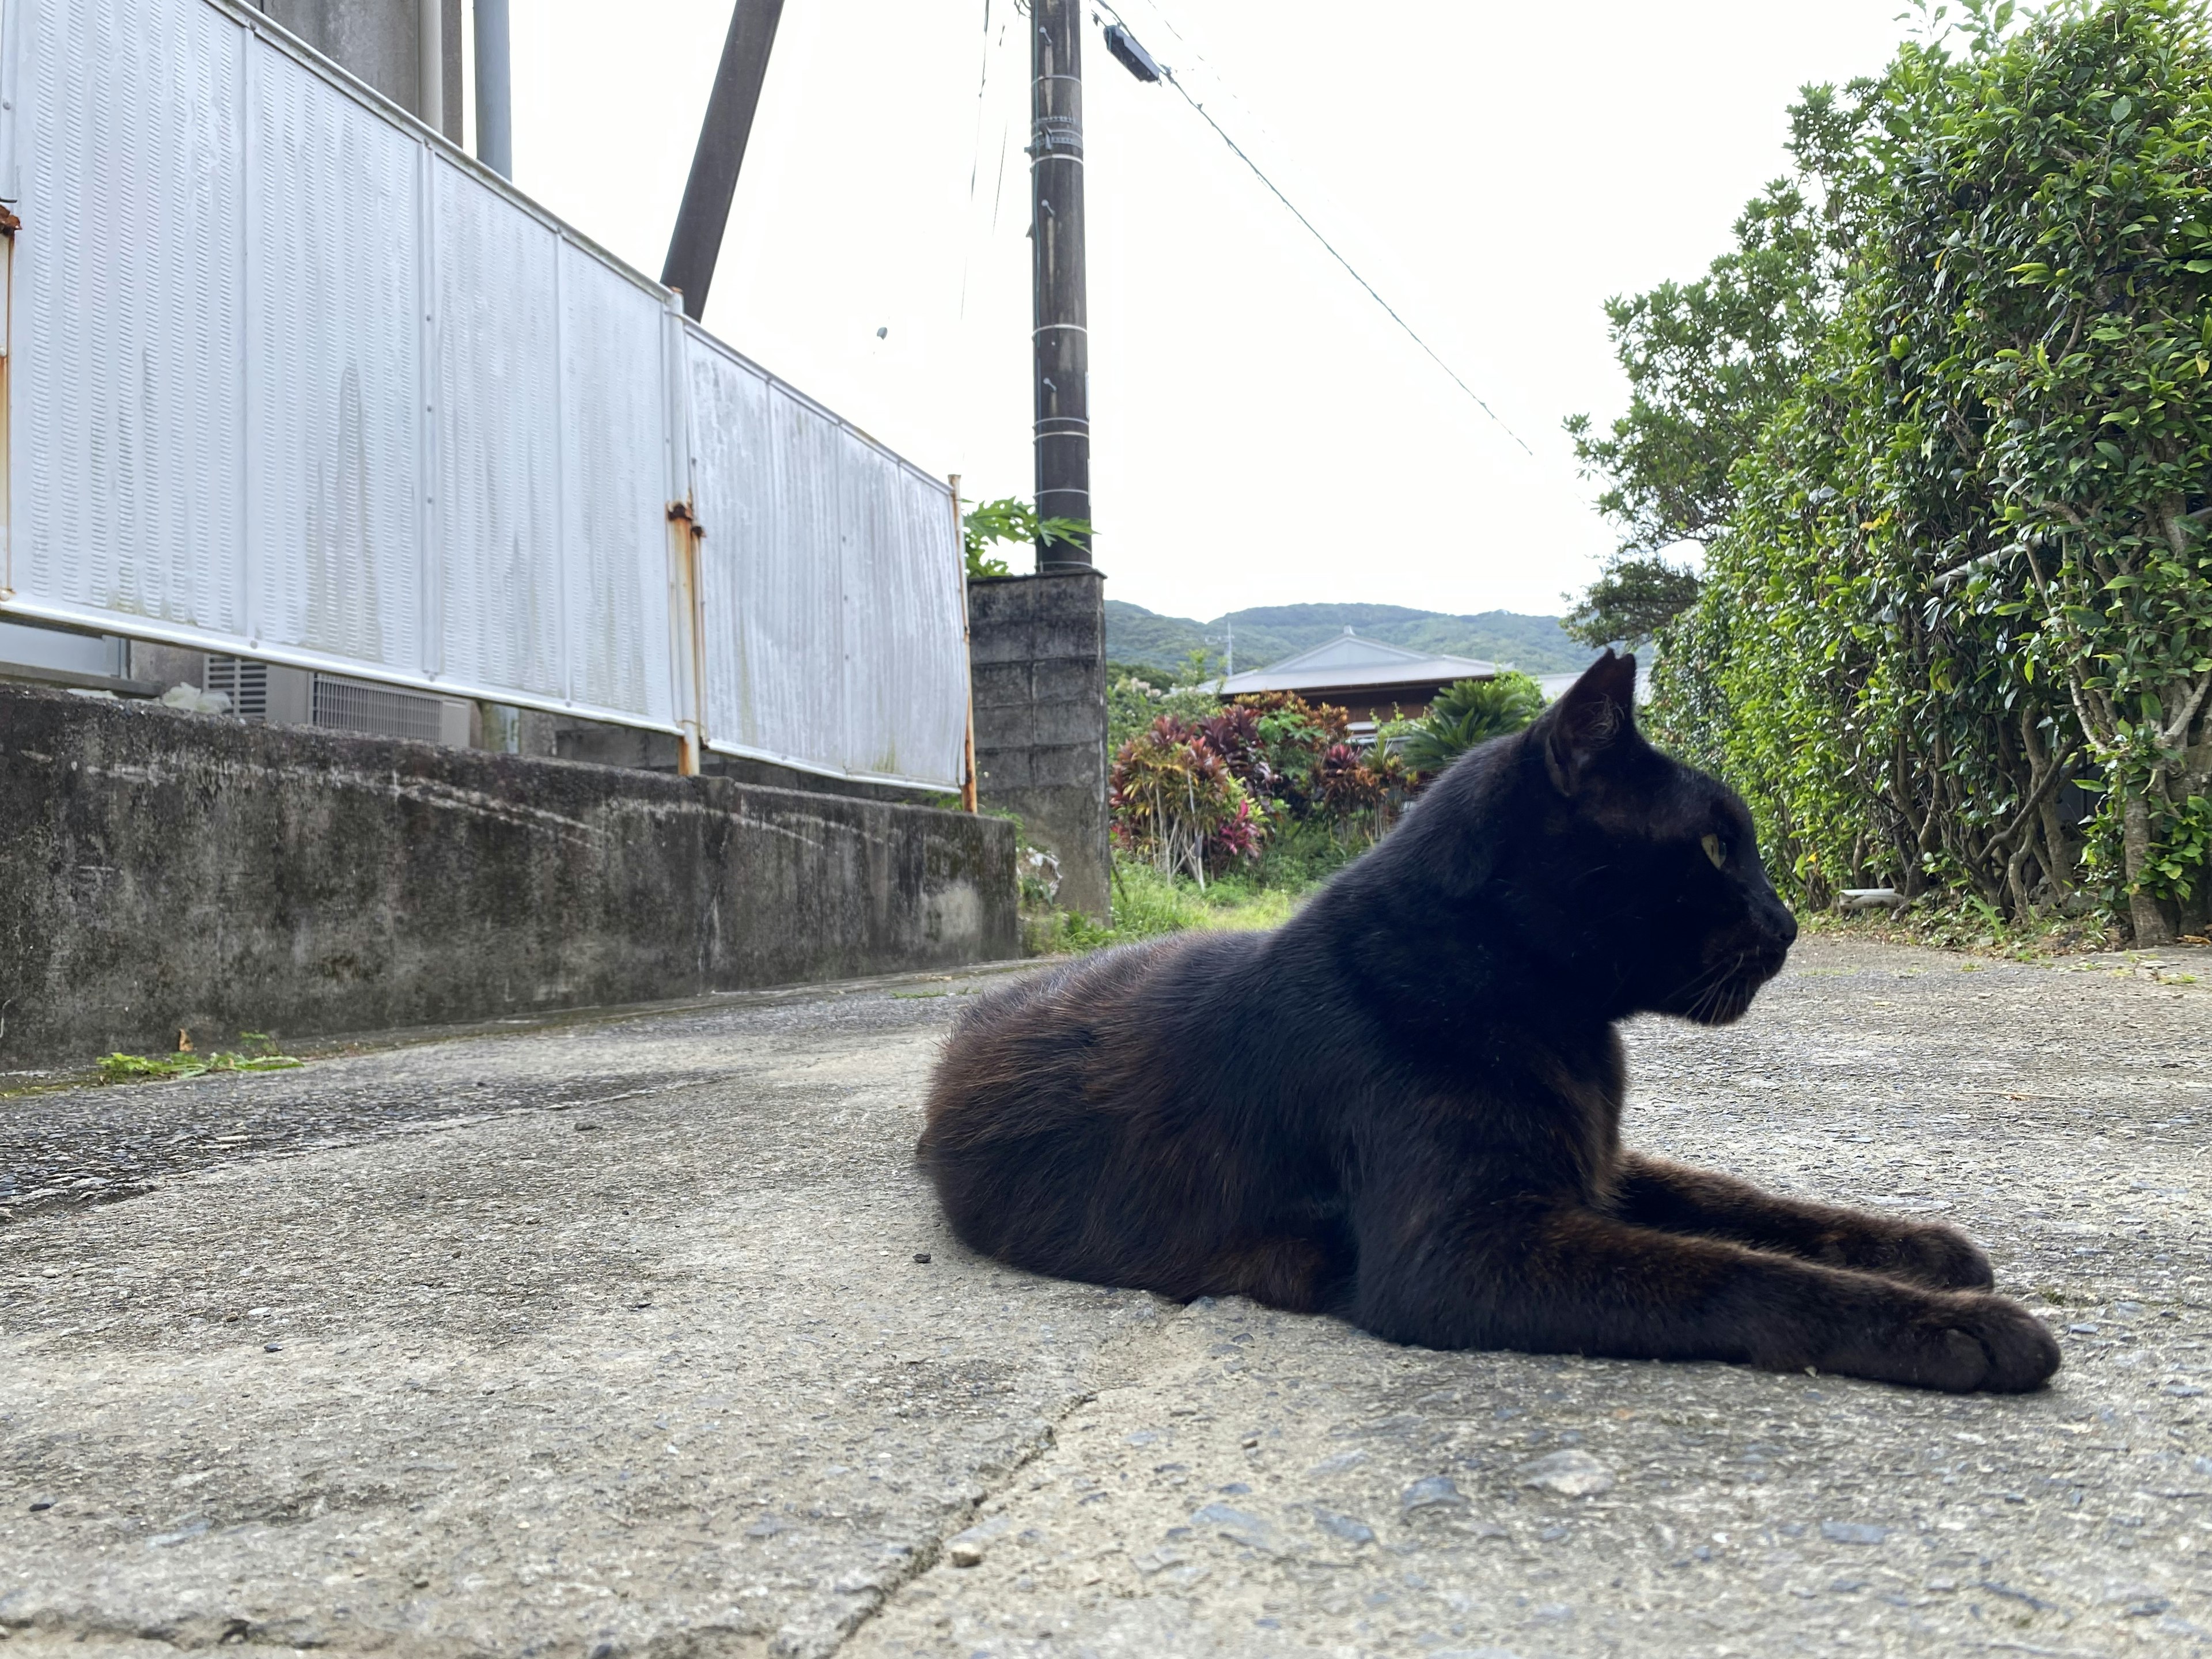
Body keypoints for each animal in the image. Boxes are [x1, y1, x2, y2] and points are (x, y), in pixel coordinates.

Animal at [915, 654, 2052, 1397]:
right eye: (1718, 849)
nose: (1790, 924)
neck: (1539, 1007)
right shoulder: (1464, 1252)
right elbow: (1738, 1272)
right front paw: (1969, 1328)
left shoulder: (1599, 1166)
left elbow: (1752, 1206)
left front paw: (1926, 1249)